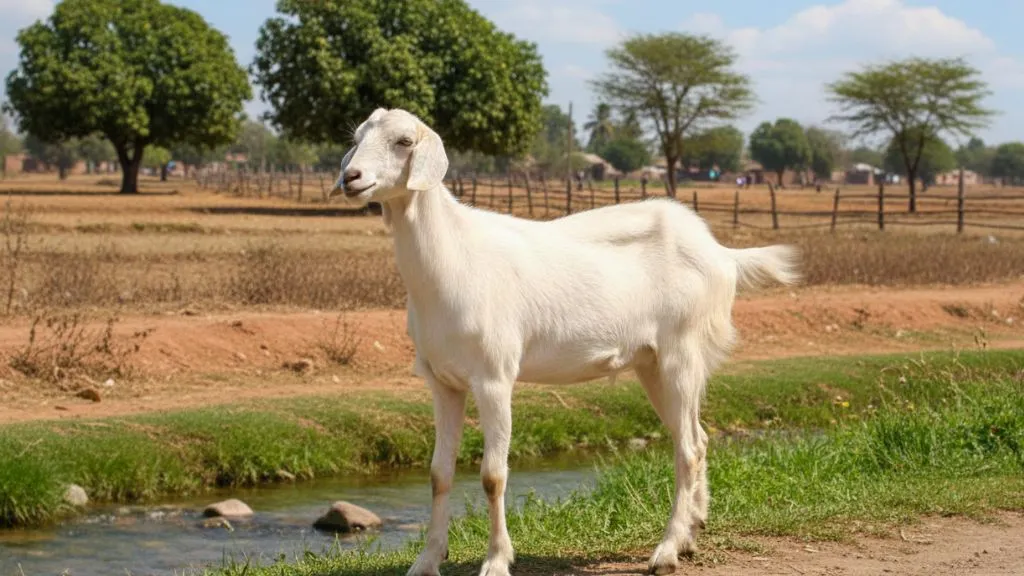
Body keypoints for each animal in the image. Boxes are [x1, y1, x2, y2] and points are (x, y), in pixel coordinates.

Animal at [330, 108, 800, 576]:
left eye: (405, 142)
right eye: (356, 138)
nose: (352, 177)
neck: (455, 257)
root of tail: (721, 253)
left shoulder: (494, 377)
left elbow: (492, 475)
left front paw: (497, 560)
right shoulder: (442, 381)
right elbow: (439, 473)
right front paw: (427, 561)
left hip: (681, 352)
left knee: (686, 448)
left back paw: (666, 552)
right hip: (654, 364)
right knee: (697, 438)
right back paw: (690, 536)